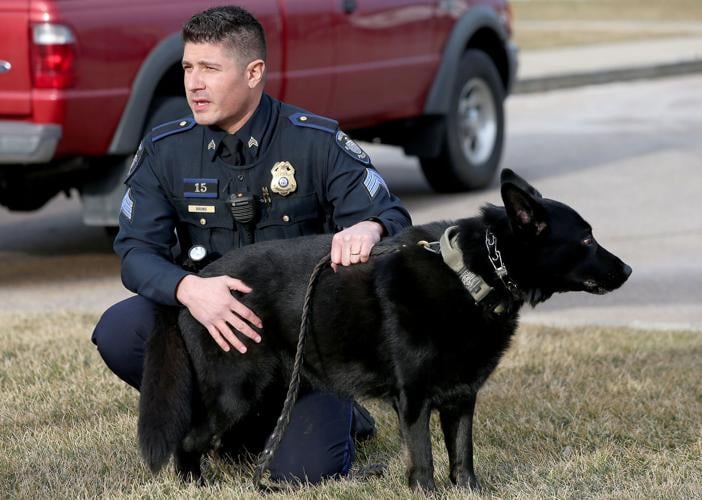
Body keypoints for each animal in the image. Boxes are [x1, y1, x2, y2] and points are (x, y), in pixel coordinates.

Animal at [136, 170, 632, 490]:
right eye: (586, 239)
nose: (627, 270)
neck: (470, 275)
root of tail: (196, 283)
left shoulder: (461, 398)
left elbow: (463, 457)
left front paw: (469, 490)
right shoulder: (413, 400)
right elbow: (425, 462)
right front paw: (426, 491)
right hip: (237, 392)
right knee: (189, 440)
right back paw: (196, 485)